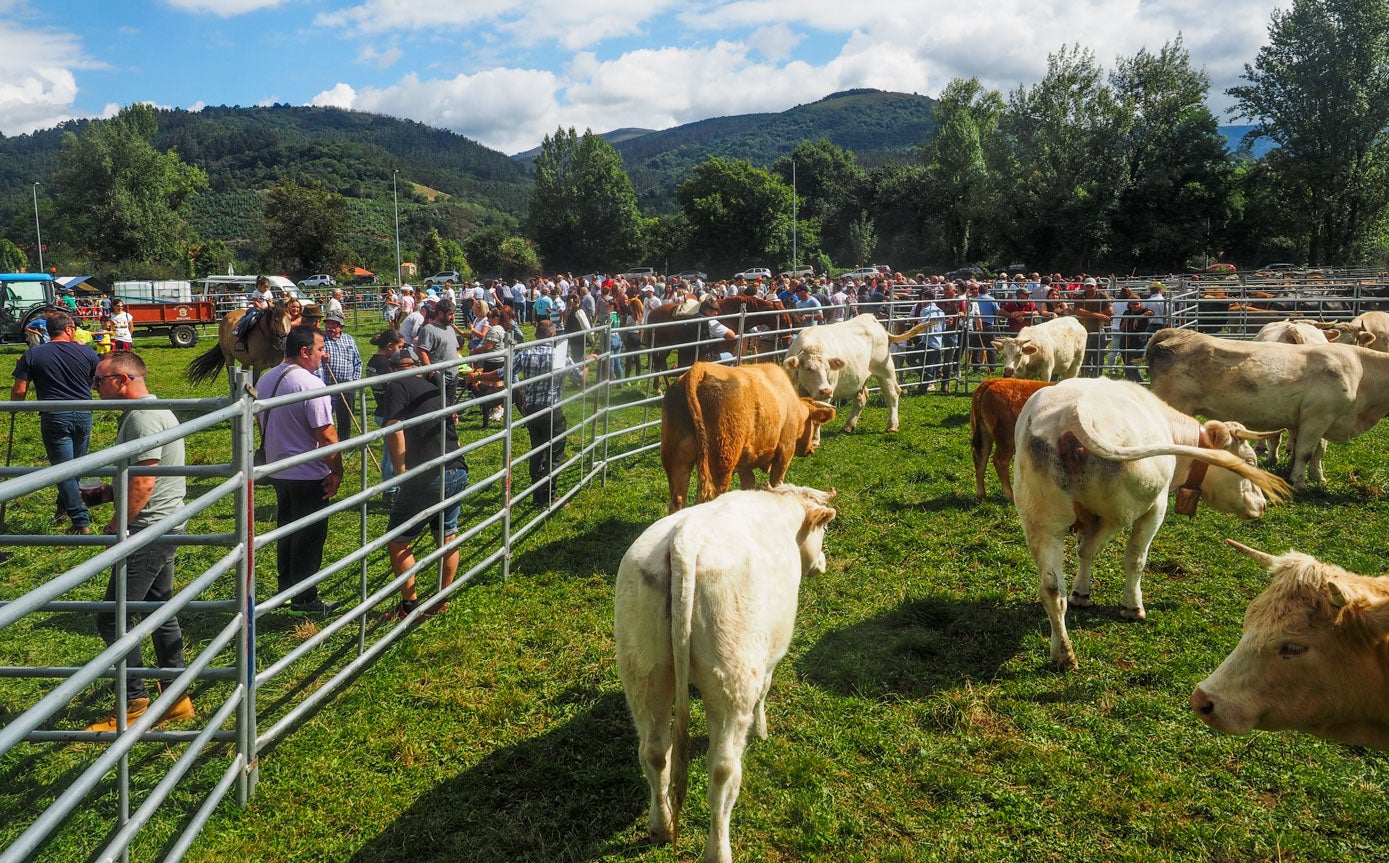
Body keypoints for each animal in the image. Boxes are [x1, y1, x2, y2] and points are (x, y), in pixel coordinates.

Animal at [616, 483, 833, 861]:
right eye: (823, 530)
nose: (823, 563)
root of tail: (684, 538)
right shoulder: (771, 654)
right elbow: (765, 692)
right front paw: (762, 731)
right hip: (733, 679)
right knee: (723, 769)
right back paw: (718, 850)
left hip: (644, 668)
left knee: (655, 752)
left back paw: (661, 827)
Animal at [661, 361, 833, 511]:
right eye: (813, 423)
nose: (811, 449)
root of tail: (699, 368)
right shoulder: (785, 451)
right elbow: (777, 483)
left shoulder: (746, 463)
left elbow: (748, 484)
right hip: (720, 464)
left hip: (676, 461)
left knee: (677, 500)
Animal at [788, 312, 927, 441]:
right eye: (808, 368)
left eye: (827, 368)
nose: (826, 391)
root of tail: (871, 318)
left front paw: (814, 440)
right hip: (860, 379)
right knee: (861, 399)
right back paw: (848, 426)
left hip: (885, 371)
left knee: (892, 394)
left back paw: (892, 425)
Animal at [966, 377, 1050, 505]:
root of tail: (993, 381)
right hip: (1007, 438)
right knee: (1000, 461)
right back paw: (1010, 496)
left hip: (985, 434)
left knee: (980, 458)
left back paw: (981, 495)